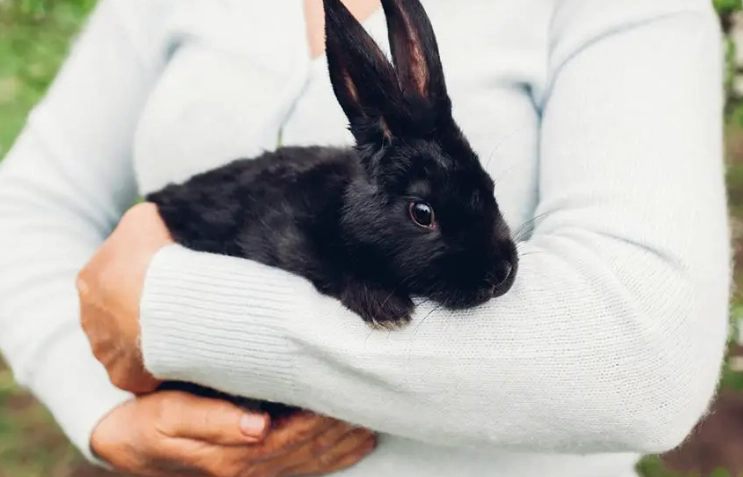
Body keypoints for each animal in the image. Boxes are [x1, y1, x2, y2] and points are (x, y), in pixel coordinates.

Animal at [147, 0, 518, 416]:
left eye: (488, 183)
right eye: (422, 213)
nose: (502, 273)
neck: (346, 212)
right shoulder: (286, 237)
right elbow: (327, 266)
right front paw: (388, 309)